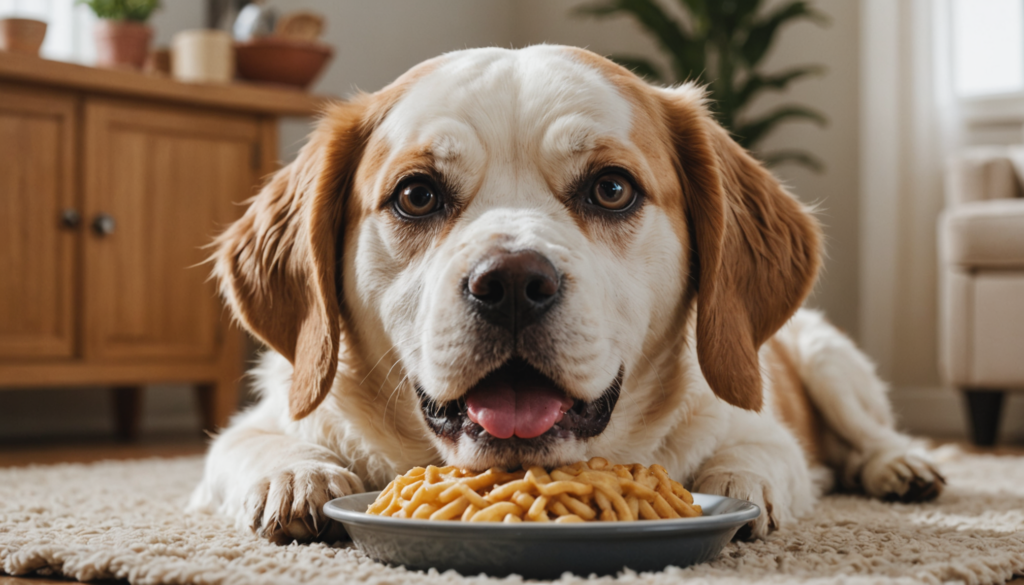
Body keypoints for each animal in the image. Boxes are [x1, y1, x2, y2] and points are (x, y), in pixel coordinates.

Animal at [190, 45, 942, 545]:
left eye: (611, 188)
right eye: (416, 195)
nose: (512, 285)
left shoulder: (766, 430)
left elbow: (760, 456)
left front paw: (735, 483)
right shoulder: (253, 427)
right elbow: (250, 447)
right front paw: (298, 476)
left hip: (828, 357)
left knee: (865, 434)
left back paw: (900, 465)